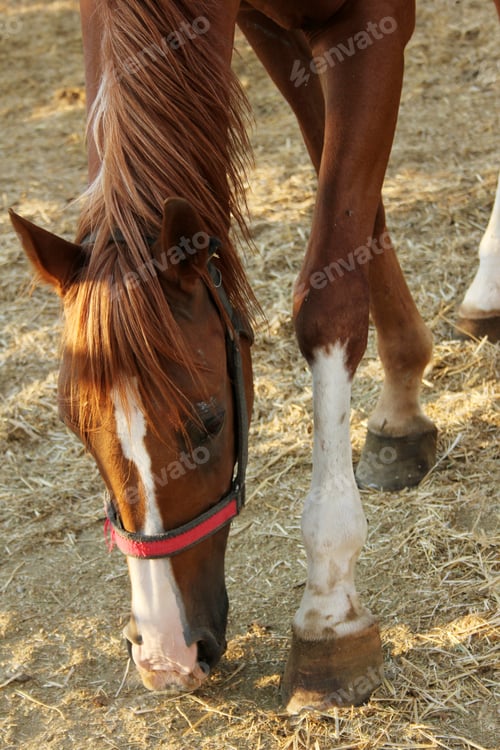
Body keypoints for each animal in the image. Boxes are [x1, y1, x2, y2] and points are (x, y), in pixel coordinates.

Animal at [8, 0, 496, 714]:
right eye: (77, 431)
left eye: (209, 421)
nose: (167, 655)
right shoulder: (274, 33)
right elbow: (358, 212)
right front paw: (401, 405)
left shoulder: (366, 22)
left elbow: (329, 293)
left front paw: (329, 611)